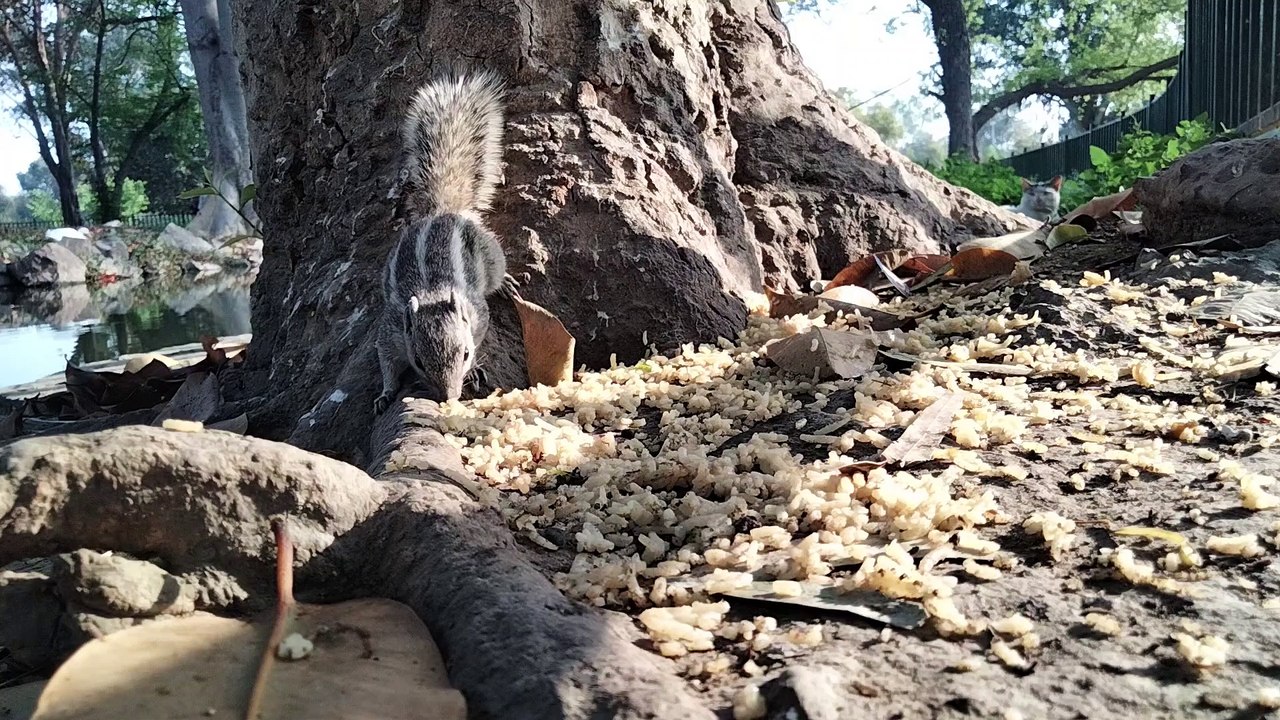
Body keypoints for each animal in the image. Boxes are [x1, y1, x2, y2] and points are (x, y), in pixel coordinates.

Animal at [373, 70, 513, 414]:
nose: (449, 397)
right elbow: (386, 360)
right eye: (419, 361)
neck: (432, 294)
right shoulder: (393, 328)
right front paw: (385, 393)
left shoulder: (477, 314)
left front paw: (474, 370)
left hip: (490, 254)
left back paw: (506, 283)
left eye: (465, 353)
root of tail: (443, 210)